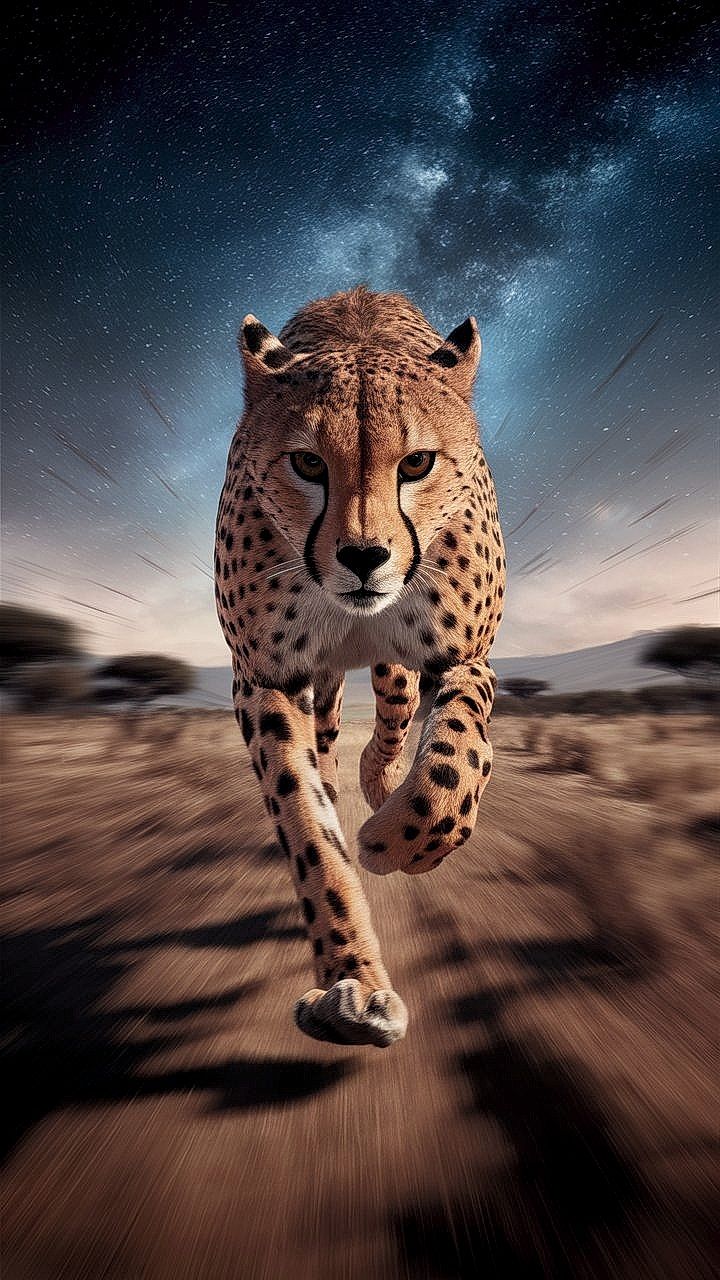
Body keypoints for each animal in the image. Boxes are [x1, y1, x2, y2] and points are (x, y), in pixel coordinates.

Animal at [214, 285, 505, 1048]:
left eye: (417, 463)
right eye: (309, 464)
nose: (364, 557)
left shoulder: (464, 656)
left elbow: (455, 767)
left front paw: (399, 839)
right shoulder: (266, 678)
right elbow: (305, 823)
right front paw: (354, 981)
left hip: (396, 668)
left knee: (397, 711)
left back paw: (380, 787)